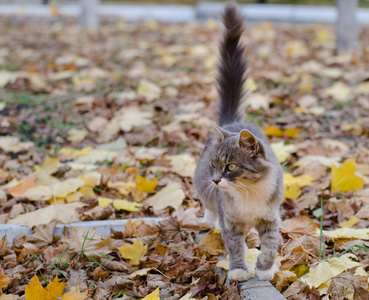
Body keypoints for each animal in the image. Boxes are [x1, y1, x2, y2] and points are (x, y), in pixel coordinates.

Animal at [194, 1, 284, 284]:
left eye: (231, 167)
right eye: (214, 165)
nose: (215, 180)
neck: (249, 192)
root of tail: (233, 121)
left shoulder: (271, 218)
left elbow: (270, 246)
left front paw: (264, 270)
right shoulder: (230, 221)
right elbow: (235, 247)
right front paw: (238, 271)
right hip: (202, 189)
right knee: (208, 205)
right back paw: (207, 220)